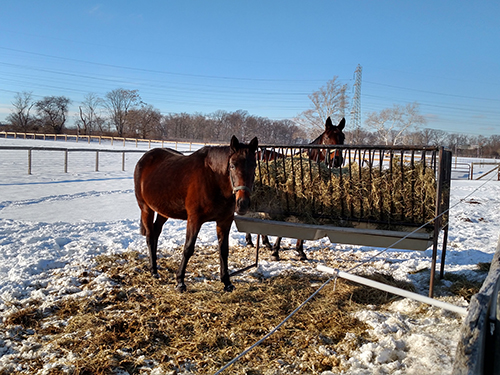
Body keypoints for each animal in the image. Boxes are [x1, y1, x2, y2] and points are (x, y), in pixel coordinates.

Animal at [135, 136, 258, 294]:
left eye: (254, 166)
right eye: (232, 166)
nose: (243, 203)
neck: (213, 178)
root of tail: (145, 158)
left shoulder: (225, 221)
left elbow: (224, 250)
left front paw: (227, 282)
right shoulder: (194, 219)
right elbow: (188, 248)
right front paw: (180, 282)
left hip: (164, 211)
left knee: (155, 233)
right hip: (146, 209)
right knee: (150, 236)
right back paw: (154, 271)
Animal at [245, 117, 344, 262]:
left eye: (343, 137)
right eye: (327, 137)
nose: (336, 160)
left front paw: (300, 251)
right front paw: (276, 252)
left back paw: (265, 243)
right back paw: (251, 241)